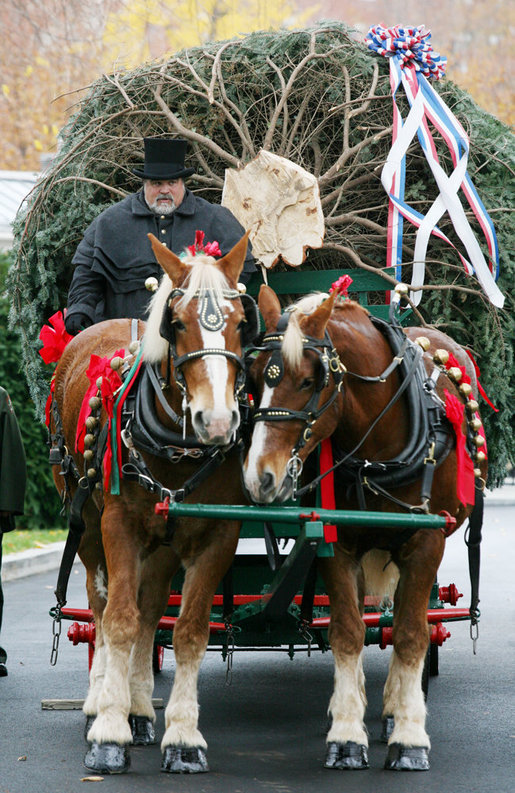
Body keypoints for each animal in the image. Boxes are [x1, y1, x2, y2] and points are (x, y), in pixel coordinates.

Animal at [50, 229, 256, 772]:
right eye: (177, 323)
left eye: (241, 323)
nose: (217, 421)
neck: (176, 450)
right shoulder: (118, 526)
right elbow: (119, 621)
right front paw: (108, 732)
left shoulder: (216, 535)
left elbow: (187, 630)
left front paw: (182, 736)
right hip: (89, 525)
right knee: (101, 603)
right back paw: (102, 698)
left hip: (163, 542)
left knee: (151, 609)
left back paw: (140, 710)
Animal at [245, 284, 488, 768]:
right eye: (256, 376)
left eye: (308, 381)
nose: (260, 476)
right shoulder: (337, 545)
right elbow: (347, 632)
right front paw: (345, 732)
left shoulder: (425, 545)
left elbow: (411, 634)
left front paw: (409, 738)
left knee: (405, 621)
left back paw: (395, 711)